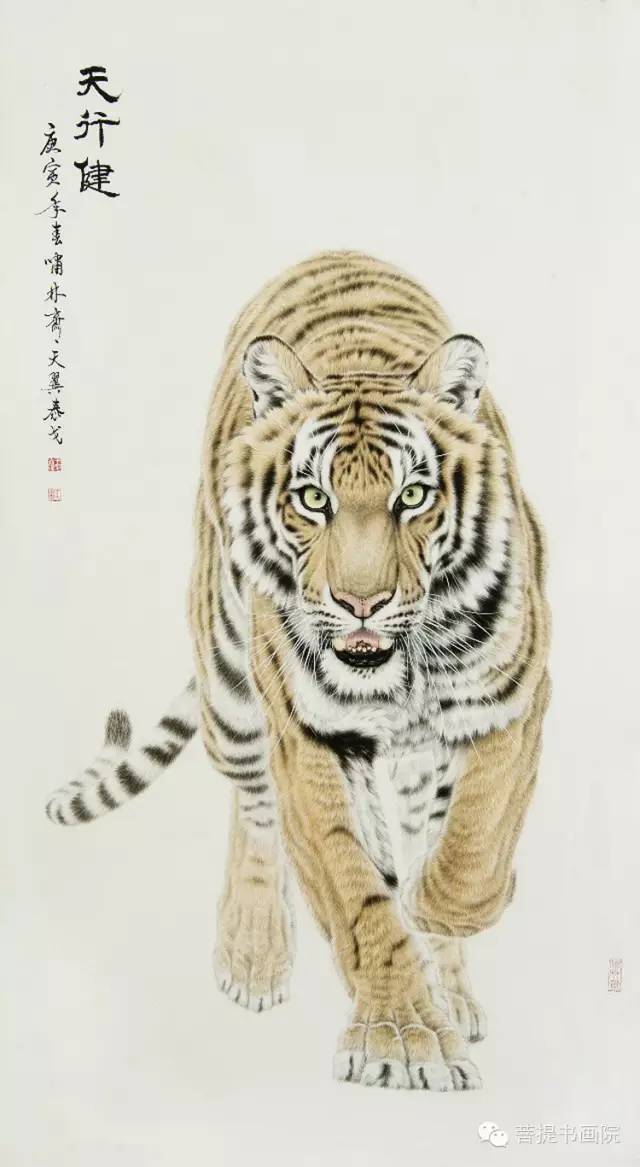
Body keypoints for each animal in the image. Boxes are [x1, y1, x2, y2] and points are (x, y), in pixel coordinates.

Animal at [45, 250, 550, 1092]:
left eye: (414, 495)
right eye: (312, 498)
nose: (361, 602)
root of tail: (332, 250)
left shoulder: (512, 698)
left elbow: (473, 837)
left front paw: (447, 922)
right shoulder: (308, 735)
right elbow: (355, 889)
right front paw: (401, 1037)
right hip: (228, 681)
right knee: (253, 806)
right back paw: (253, 952)